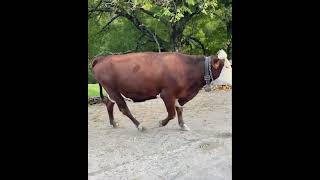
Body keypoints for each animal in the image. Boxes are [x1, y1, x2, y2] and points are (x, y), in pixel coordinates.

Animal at [91, 50, 231, 131]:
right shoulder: (167, 94)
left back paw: (113, 123)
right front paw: (161, 123)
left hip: (112, 92)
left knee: (109, 104)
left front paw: (182, 125)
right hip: (113, 91)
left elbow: (179, 109)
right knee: (124, 109)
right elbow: (172, 113)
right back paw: (139, 125)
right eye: (227, 66)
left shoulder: (180, 95)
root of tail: (102, 58)